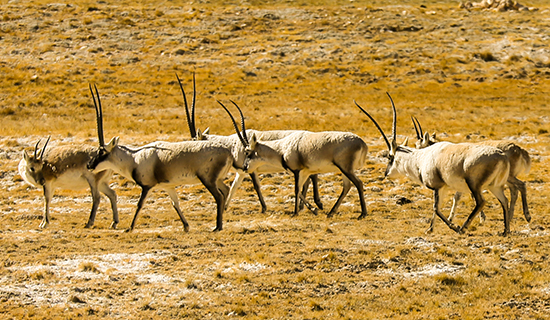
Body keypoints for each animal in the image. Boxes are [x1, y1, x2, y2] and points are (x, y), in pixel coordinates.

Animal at [86, 84, 235, 231]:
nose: (89, 165)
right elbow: (175, 204)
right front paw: (186, 226)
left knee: (219, 196)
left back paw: (217, 227)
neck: (134, 158)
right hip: (216, 179)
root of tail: (227, 152)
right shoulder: (168, 186)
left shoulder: (147, 186)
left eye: (101, 151)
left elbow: (139, 204)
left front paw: (130, 228)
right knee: (225, 191)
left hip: (208, 180)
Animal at [176, 74, 324, 215]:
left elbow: (256, 186)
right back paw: (306, 205)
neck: (232, 144)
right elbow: (234, 187)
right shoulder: (242, 171)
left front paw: (263, 208)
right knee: (309, 178)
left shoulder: (251, 169)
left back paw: (316, 204)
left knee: (311, 177)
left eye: (193, 141)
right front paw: (225, 208)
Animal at [218, 101, 368, 219]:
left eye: (248, 152)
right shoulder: (305, 172)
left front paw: (295, 213)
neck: (282, 148)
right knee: (347, 187)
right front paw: (313, 210)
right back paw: (331, 213)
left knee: (358, 184)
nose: (244, 167)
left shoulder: (297, 171)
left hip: (346, 169)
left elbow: (296, 190)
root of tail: (361, 143)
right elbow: (301, 190)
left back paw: (362, 214)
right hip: (344, 171)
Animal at [358, 92, 512, 235]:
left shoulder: (437, 187)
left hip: (475, 185)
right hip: (495, 186)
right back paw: (506, 231)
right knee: (504, 201)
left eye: (390, 156)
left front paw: (454, 226)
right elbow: (436, 209)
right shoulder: (443, 188)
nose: (386, 174)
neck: (421, 158)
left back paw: (463, 228)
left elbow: (435, 208)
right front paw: (430, 229)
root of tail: (502, 156)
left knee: (481, 202)